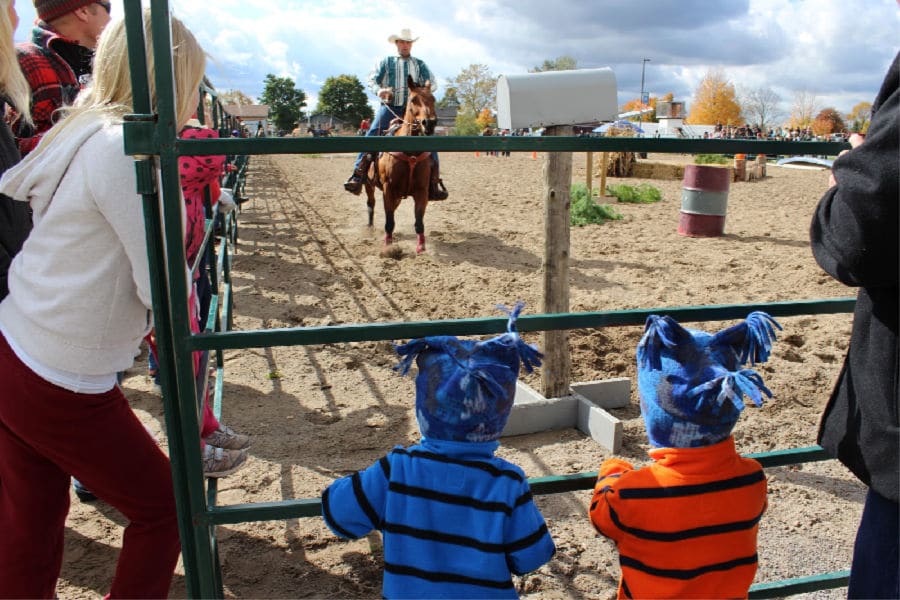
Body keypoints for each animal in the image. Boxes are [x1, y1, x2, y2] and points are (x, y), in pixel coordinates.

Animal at [364, 74, 438, 253]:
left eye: (433, 99)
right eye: (413, 99)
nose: (429, 123)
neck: (410, 153)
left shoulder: (422, 191)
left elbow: (419, 221)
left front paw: (421, 247)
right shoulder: (388, 189)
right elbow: (389, 220)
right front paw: (388, 247)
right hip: (369, 185)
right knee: (371, 204)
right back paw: (370, 228)